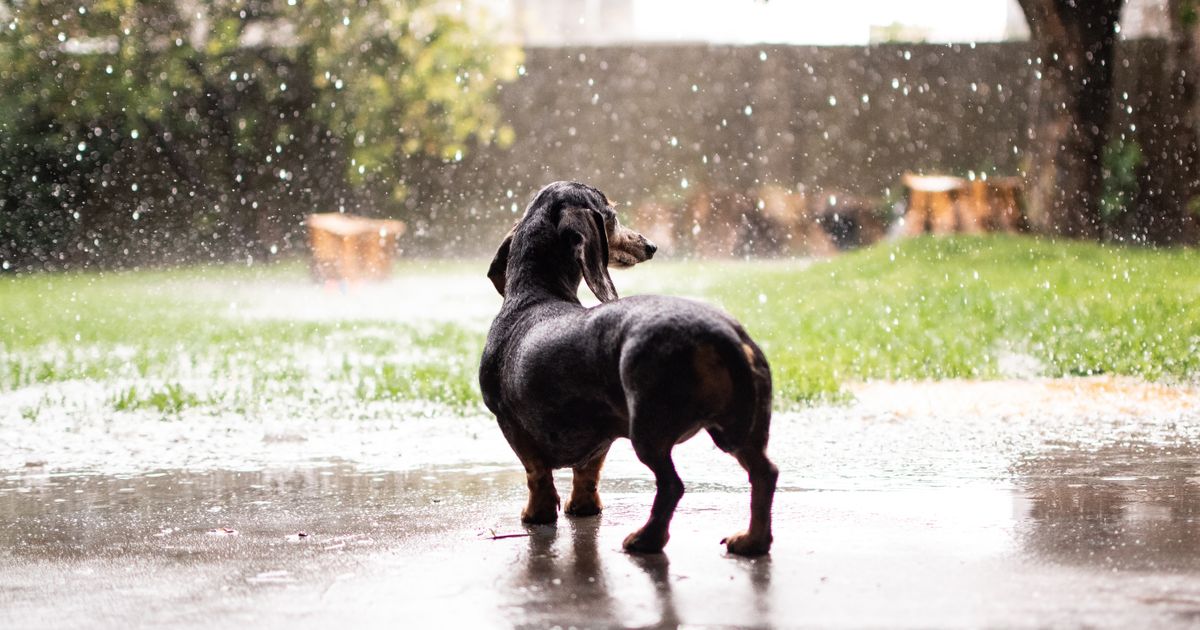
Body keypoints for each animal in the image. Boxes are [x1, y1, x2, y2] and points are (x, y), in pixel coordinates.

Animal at [477, 178, 777, 552]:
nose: (651, 245)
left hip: (649, 431)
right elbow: (588, 472)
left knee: (672, 486)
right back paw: (752, 541)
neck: (534, 295)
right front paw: (584, 507)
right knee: (764, 474)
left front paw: (537, 514)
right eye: (613, 216)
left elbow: (537, 473)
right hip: (736, 427)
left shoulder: (509, 422)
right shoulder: (603, 430)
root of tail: (723, 333)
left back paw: (646, 538)